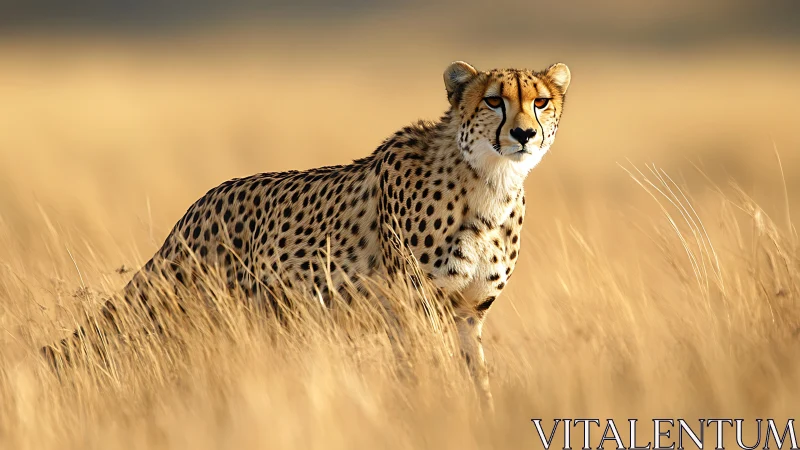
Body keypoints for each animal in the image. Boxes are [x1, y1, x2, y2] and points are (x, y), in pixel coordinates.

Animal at [42, 60, 571, 409]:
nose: (524, 134)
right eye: (493, 101)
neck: (489, 181)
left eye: (540, 102)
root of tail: (197, 206)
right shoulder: (415, 307)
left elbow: (476, 376)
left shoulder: (467, 312)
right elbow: (428, 370)